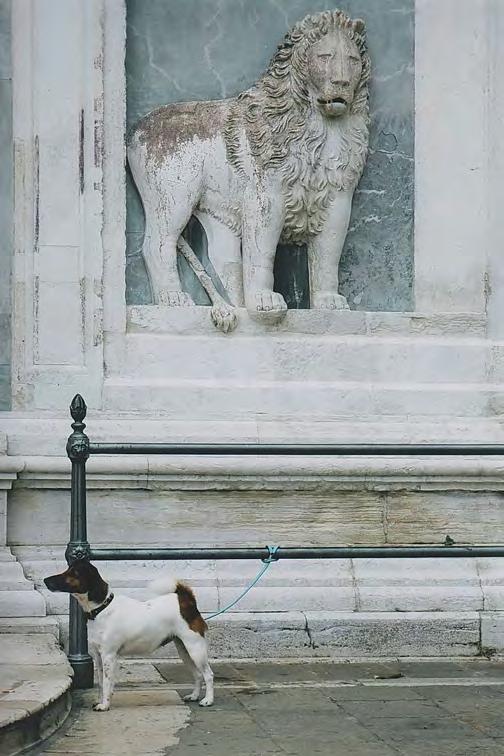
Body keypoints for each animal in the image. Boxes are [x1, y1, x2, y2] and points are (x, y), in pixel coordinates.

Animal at [43, 560, 215, 712]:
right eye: (68, 569)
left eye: (73, 573)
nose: (45, 580)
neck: (102, 608)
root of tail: (186, 601)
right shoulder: (98, 657)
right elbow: (102, 683)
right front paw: (102, 701)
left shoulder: (108, 656)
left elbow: (106, 682)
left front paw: (105, 705)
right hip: (184, 650)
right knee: (198, 675)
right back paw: (194, 696)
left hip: (195, 648)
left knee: (208, 674)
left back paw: (208, 700)